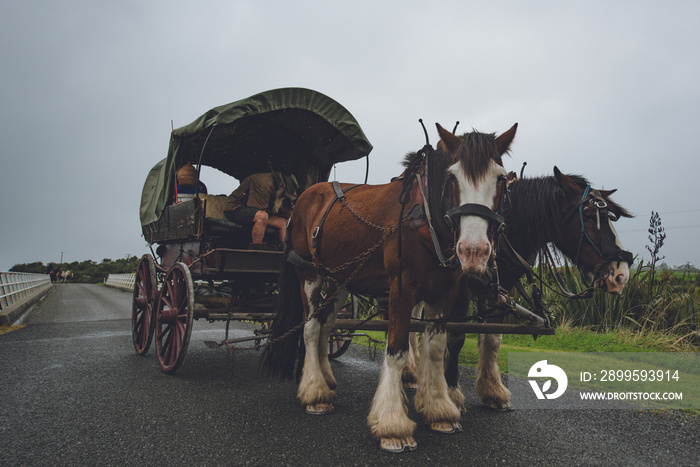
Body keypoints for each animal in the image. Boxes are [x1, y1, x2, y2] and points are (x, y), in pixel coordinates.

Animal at [266, 122, 516, 452]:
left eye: (500, 179)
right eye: (452, 177)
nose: (473, 251)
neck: (425, 218)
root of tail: (305, 196)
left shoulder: (445, 293)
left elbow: (435, 348)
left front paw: (439, 409)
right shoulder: (401, 290)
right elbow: (396, 349)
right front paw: (392, 424)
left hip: (340, 279)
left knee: (326, 323)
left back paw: (326, 379)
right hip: (308, 272)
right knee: (310, 327)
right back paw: (314, 391)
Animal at [402, 167, 632, 414]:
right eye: (588, 215)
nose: (621, 274)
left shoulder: (503, 291)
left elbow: (493, 339)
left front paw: (492, 390)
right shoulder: (461, 290)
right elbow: (456, 337)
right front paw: (452, 394)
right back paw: (410, 372)